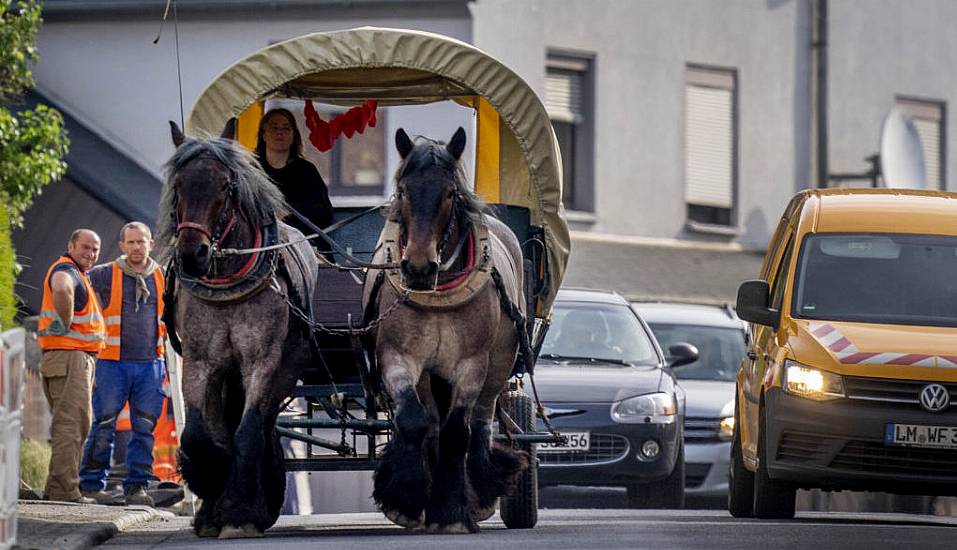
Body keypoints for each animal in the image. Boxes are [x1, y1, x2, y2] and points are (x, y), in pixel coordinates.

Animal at [160, 121, 318, 540]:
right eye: (179, 184)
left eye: (226, 186)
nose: (192, 255)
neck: (229, 282)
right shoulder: (200, 361)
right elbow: (200, 435)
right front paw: (210, 492)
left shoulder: (262, 362)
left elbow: (247, 432)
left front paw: (238, 512)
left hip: (284, 370)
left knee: (261, 425)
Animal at [366, 128, 532, 536]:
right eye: (404, 189)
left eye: (450, 194)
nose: (418, 267)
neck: (437, 291)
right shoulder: (399, 357)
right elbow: (415, 421)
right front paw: (406, 497)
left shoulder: (471, 364)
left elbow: (459, 433)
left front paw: (452, 511)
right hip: (430, 374)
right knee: (431, 422)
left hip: (498, 366)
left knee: (480, 423)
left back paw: (480, 489)